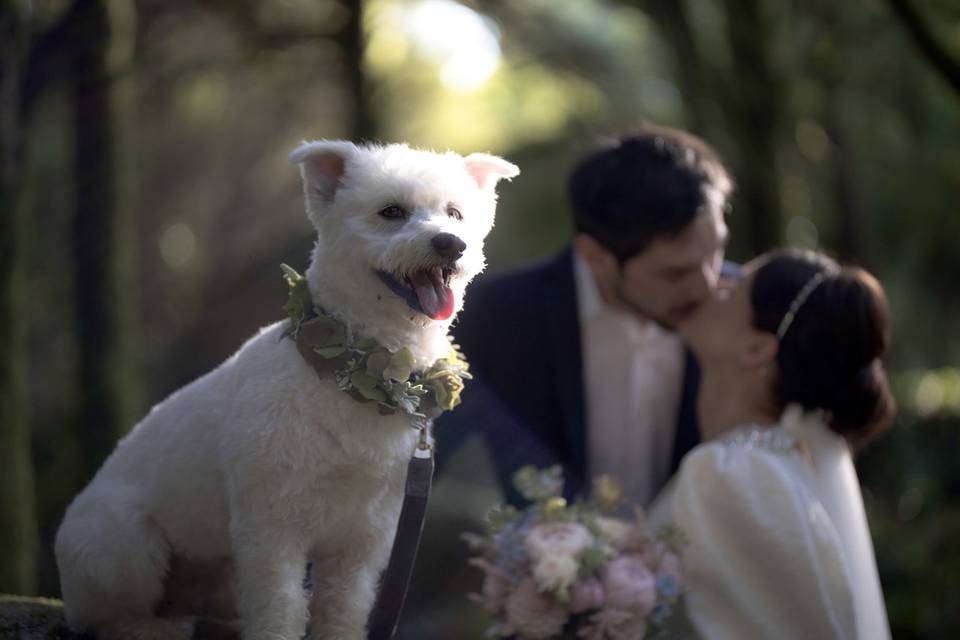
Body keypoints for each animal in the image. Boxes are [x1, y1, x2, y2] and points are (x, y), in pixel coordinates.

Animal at [54, 141, 516, 640]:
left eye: (455, 213)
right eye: (391, 211)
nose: (451, 243)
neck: (353, 378)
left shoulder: (363, 543)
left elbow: (343, 612)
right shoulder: (272, 532)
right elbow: (280, 610)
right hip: (124, 542)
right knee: (107, 616)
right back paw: (149, 627)